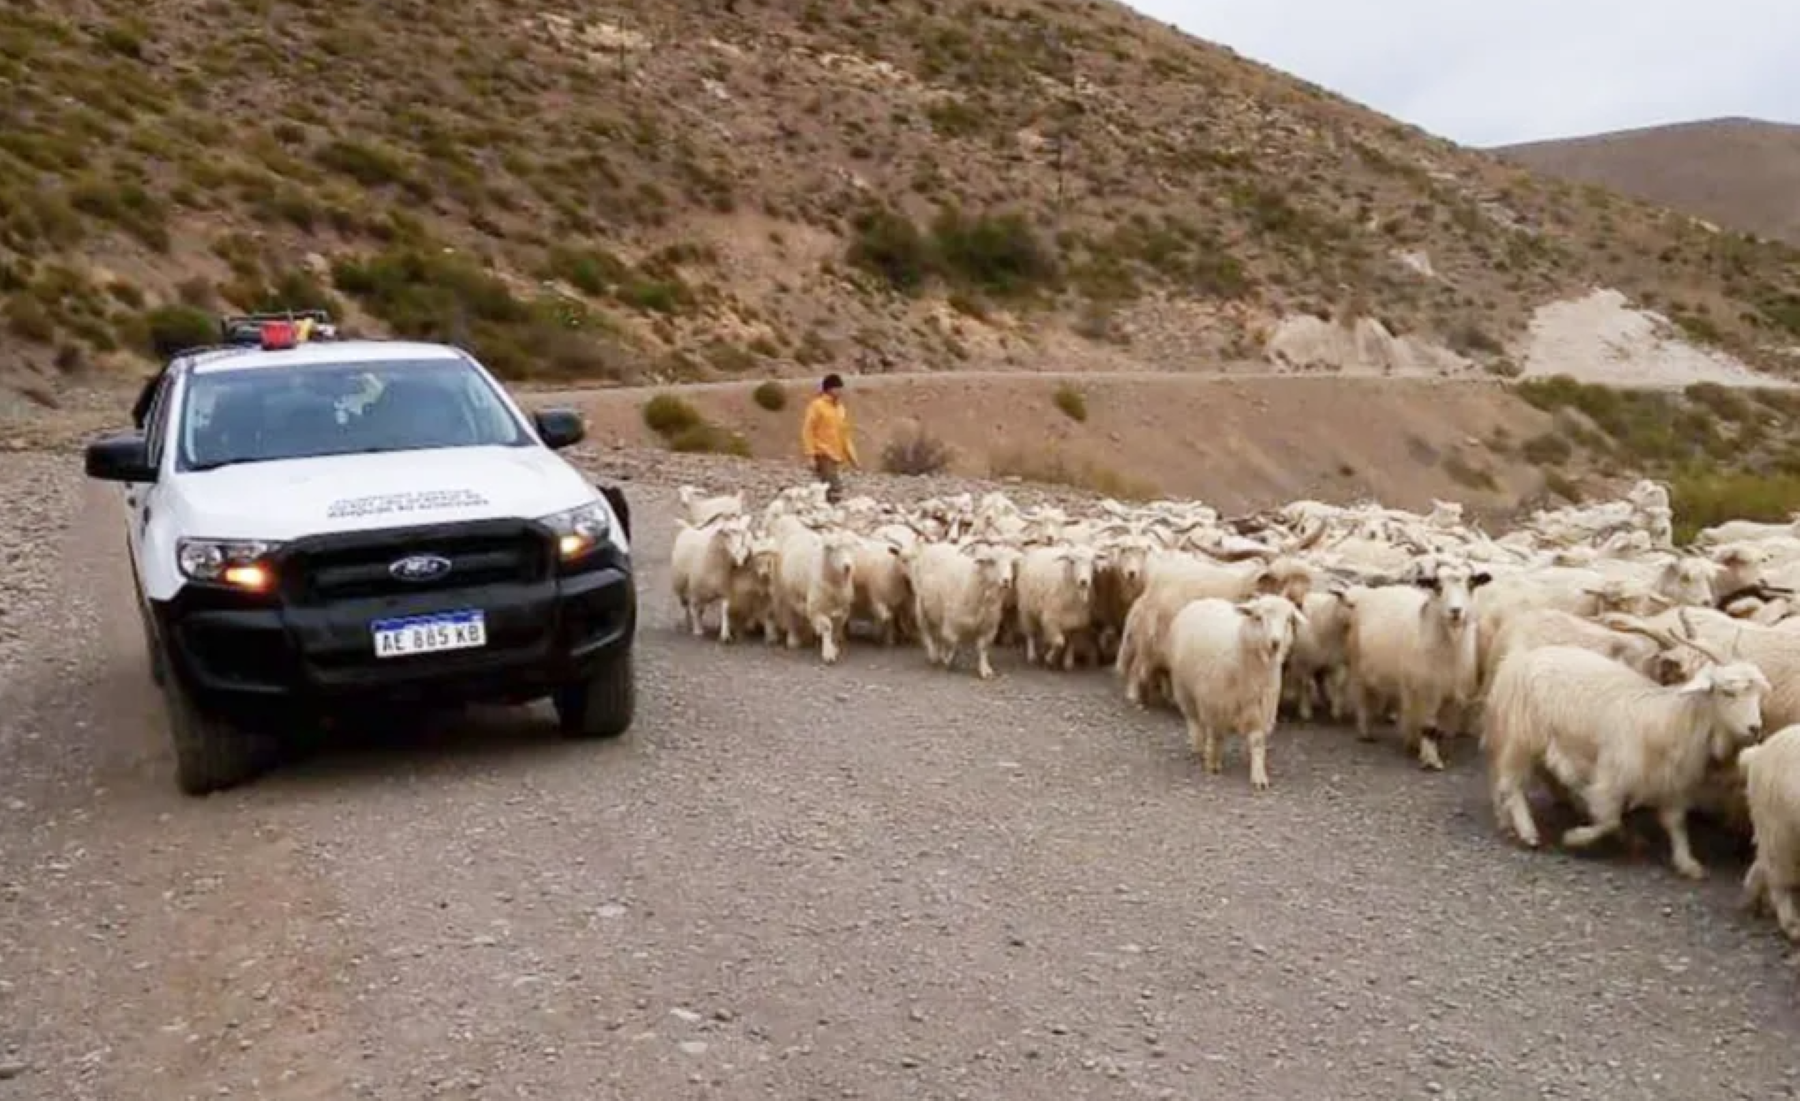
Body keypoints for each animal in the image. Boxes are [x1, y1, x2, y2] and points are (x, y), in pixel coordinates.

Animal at [1159, 597, 1303, 787]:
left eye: (1288, 620)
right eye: (1258, 618)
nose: (1275, 643)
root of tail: (1203, 600)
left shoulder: (1260, 708)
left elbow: (1257, 742)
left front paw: (1259, 777)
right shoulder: (1215, 705)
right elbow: (1216, 735)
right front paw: (1213, 763)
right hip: (1184, 687)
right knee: (1194, 720)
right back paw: (1199, 746)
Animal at [1476, 633, 1771, 881]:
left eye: (1757, 693)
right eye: (1727, 691)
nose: (1755, 729)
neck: (1671, 719)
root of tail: (1518, 660)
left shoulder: (1672, 784)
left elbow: (1675, 823)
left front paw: (1687, 863)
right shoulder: (1613, 773)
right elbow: (1608, 820)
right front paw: (1575, 838)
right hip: (1521, 736)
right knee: (1511, 784)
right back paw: (1528, 832)